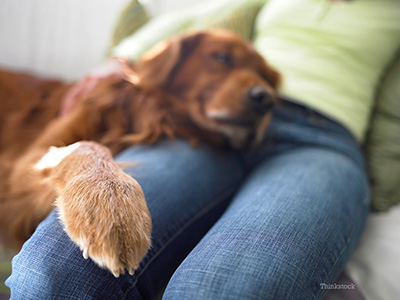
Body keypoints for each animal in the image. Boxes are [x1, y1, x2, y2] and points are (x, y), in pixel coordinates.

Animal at [0, 29, 282, 276]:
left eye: (265, 76)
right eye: (222, 57)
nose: (266, 100)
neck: (141, 113)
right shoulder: (21, 168)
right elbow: (88, 145)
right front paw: (112, 208)